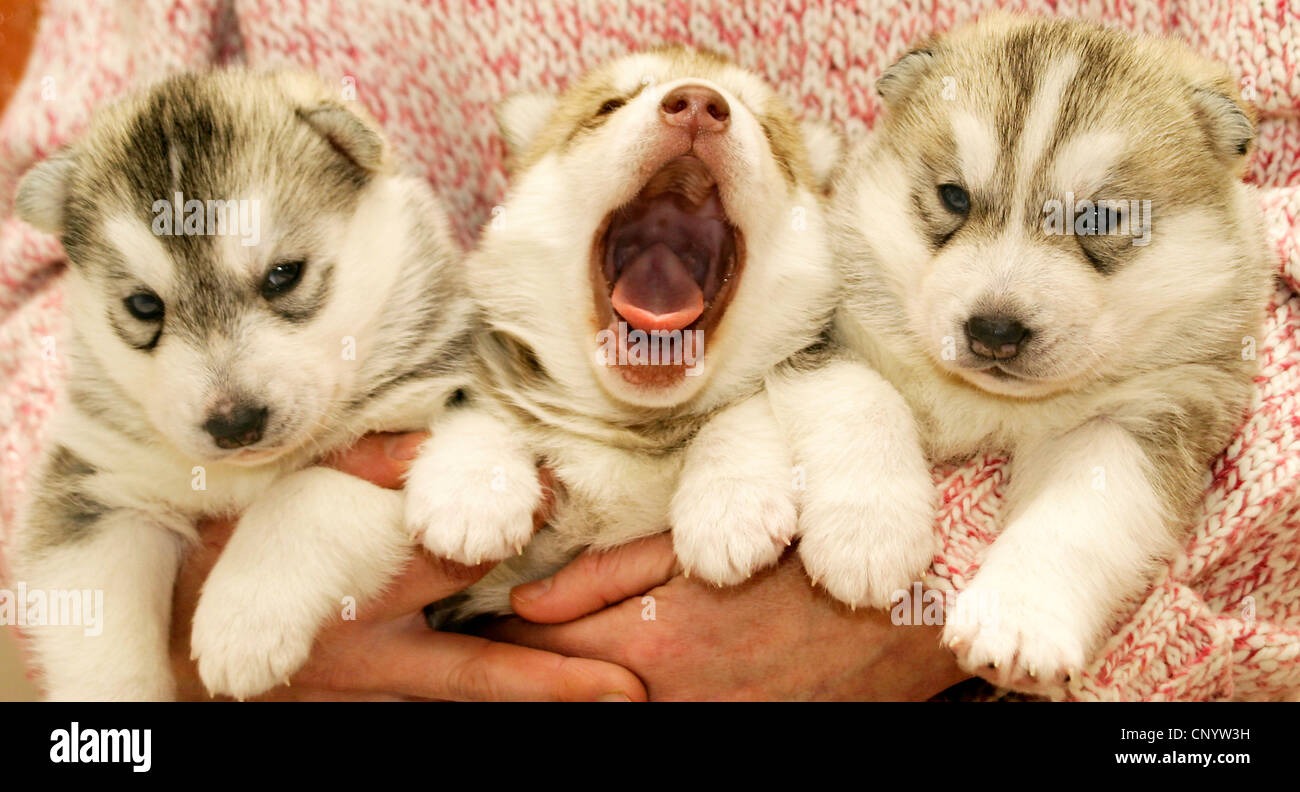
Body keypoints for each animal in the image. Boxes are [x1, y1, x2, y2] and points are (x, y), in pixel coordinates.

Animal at [410, 46, 941, 621]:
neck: (639, 424)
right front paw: (470, 483)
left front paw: (730, 497)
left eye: (769, 132)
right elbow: (484, 400)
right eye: (609, 106)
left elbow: (742, 407)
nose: (699, 105)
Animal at [832, 13, 1268, 691]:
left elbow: (1076, 520)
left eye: (1099, 219)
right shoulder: (836, 325)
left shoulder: (1145, 415)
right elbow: (861, 397)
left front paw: (1017, 620)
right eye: (954, 197)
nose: (994, 330)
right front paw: (867, 536)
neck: (995, 405)